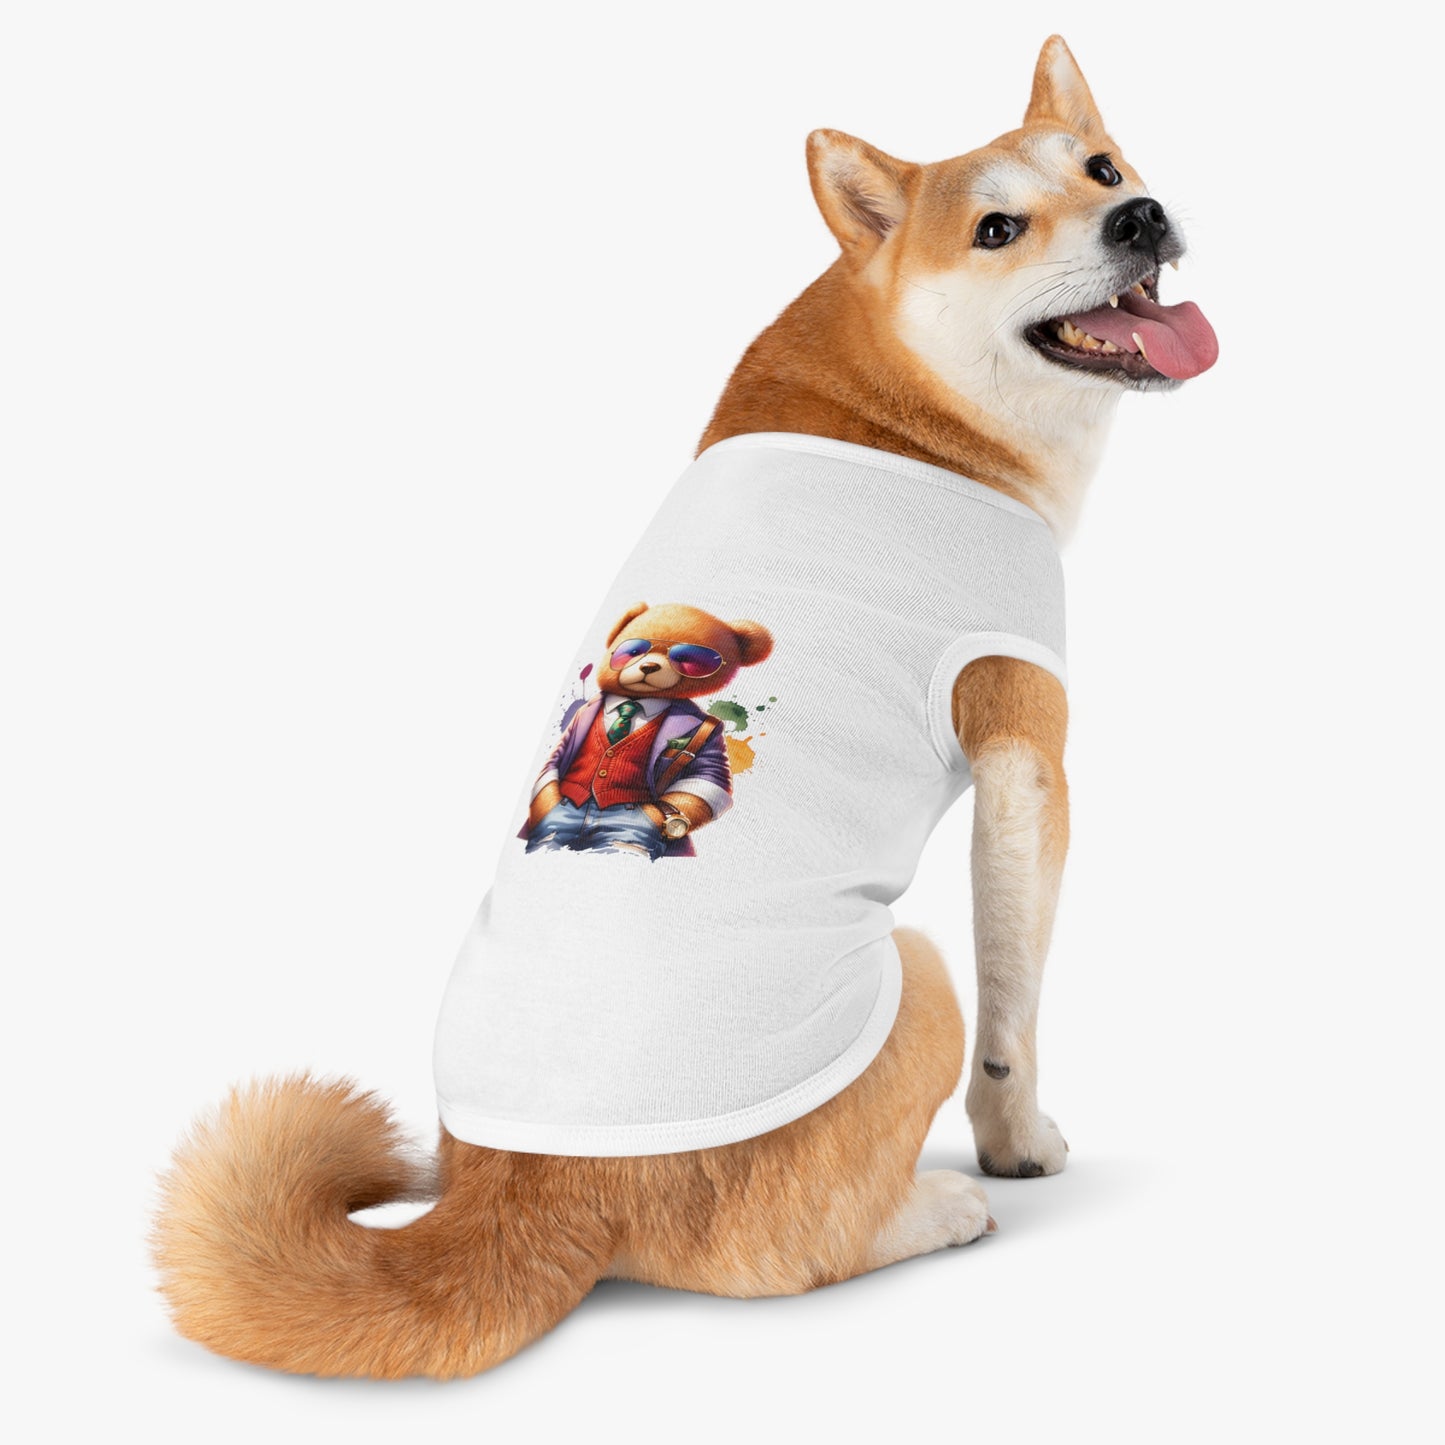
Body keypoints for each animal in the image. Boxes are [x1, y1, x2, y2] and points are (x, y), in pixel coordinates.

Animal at [523, 600, 774, 859]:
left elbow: (708, 772)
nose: (649, 666)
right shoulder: (572, 732)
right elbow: (554, 762)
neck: (635, 700)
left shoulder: (712, 739)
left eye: (687, 658)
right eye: (633, 651)